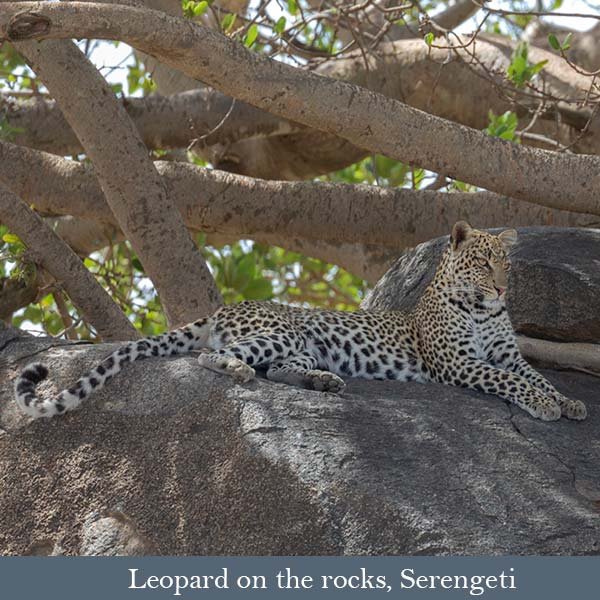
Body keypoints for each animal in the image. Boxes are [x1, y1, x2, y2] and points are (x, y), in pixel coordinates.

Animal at [14, 220, 584, 422]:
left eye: (506, 264)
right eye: (482, 263)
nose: (503, 288)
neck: (482, 309)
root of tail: (223, 308)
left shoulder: (508, 353)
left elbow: (534, 374)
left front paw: (570, 402)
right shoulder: (460, 363)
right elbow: (510, 381)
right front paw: (544, 407)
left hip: (302, 343)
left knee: (281, 370)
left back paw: (323, 381)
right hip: (277, 331)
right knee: (210, 356)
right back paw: (238, 371)